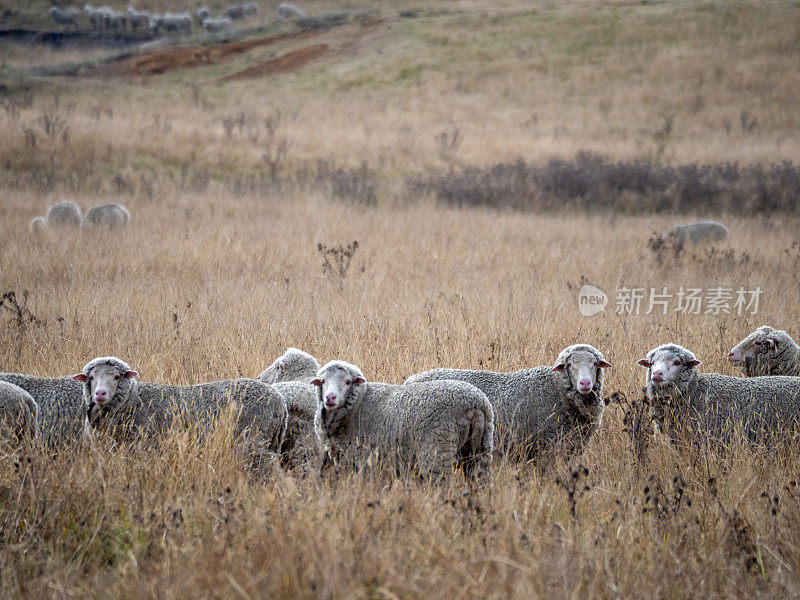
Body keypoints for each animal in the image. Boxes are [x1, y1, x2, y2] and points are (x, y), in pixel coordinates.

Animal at [75, 356, 288, 468]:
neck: (133, 399)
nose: (100, 393)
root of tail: (280, 401)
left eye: (117, 377)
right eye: (91, 377)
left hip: (252, 438)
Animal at [310, 360, 490, 482]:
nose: (330, 398)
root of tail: (474, 403)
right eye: (322, 381)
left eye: (348, 382)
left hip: (437, 451)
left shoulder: (364, 460)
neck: (360, 402)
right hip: (479, 450)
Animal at [406, 342, 612, 460]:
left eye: (595, 363)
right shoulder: (550, 448)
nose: (585, 383)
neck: (556, 390)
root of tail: (410, 381)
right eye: (569, 365)